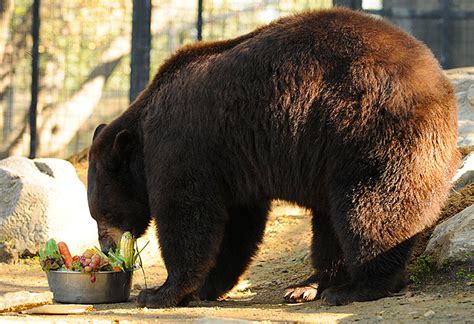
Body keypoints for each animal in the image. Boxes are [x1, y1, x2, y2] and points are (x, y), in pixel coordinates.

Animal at [86, 6, 460, 306]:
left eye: (103, 213)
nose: (106, 248)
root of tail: (442, 87)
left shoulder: (183, 144)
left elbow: (187, 212)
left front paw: (159, 292)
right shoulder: (231, 163)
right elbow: (235, 226)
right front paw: (204, 287)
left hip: (368, 132)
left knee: (372, 209)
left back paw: (357, 287)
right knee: (331, 221)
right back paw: (309, 285)